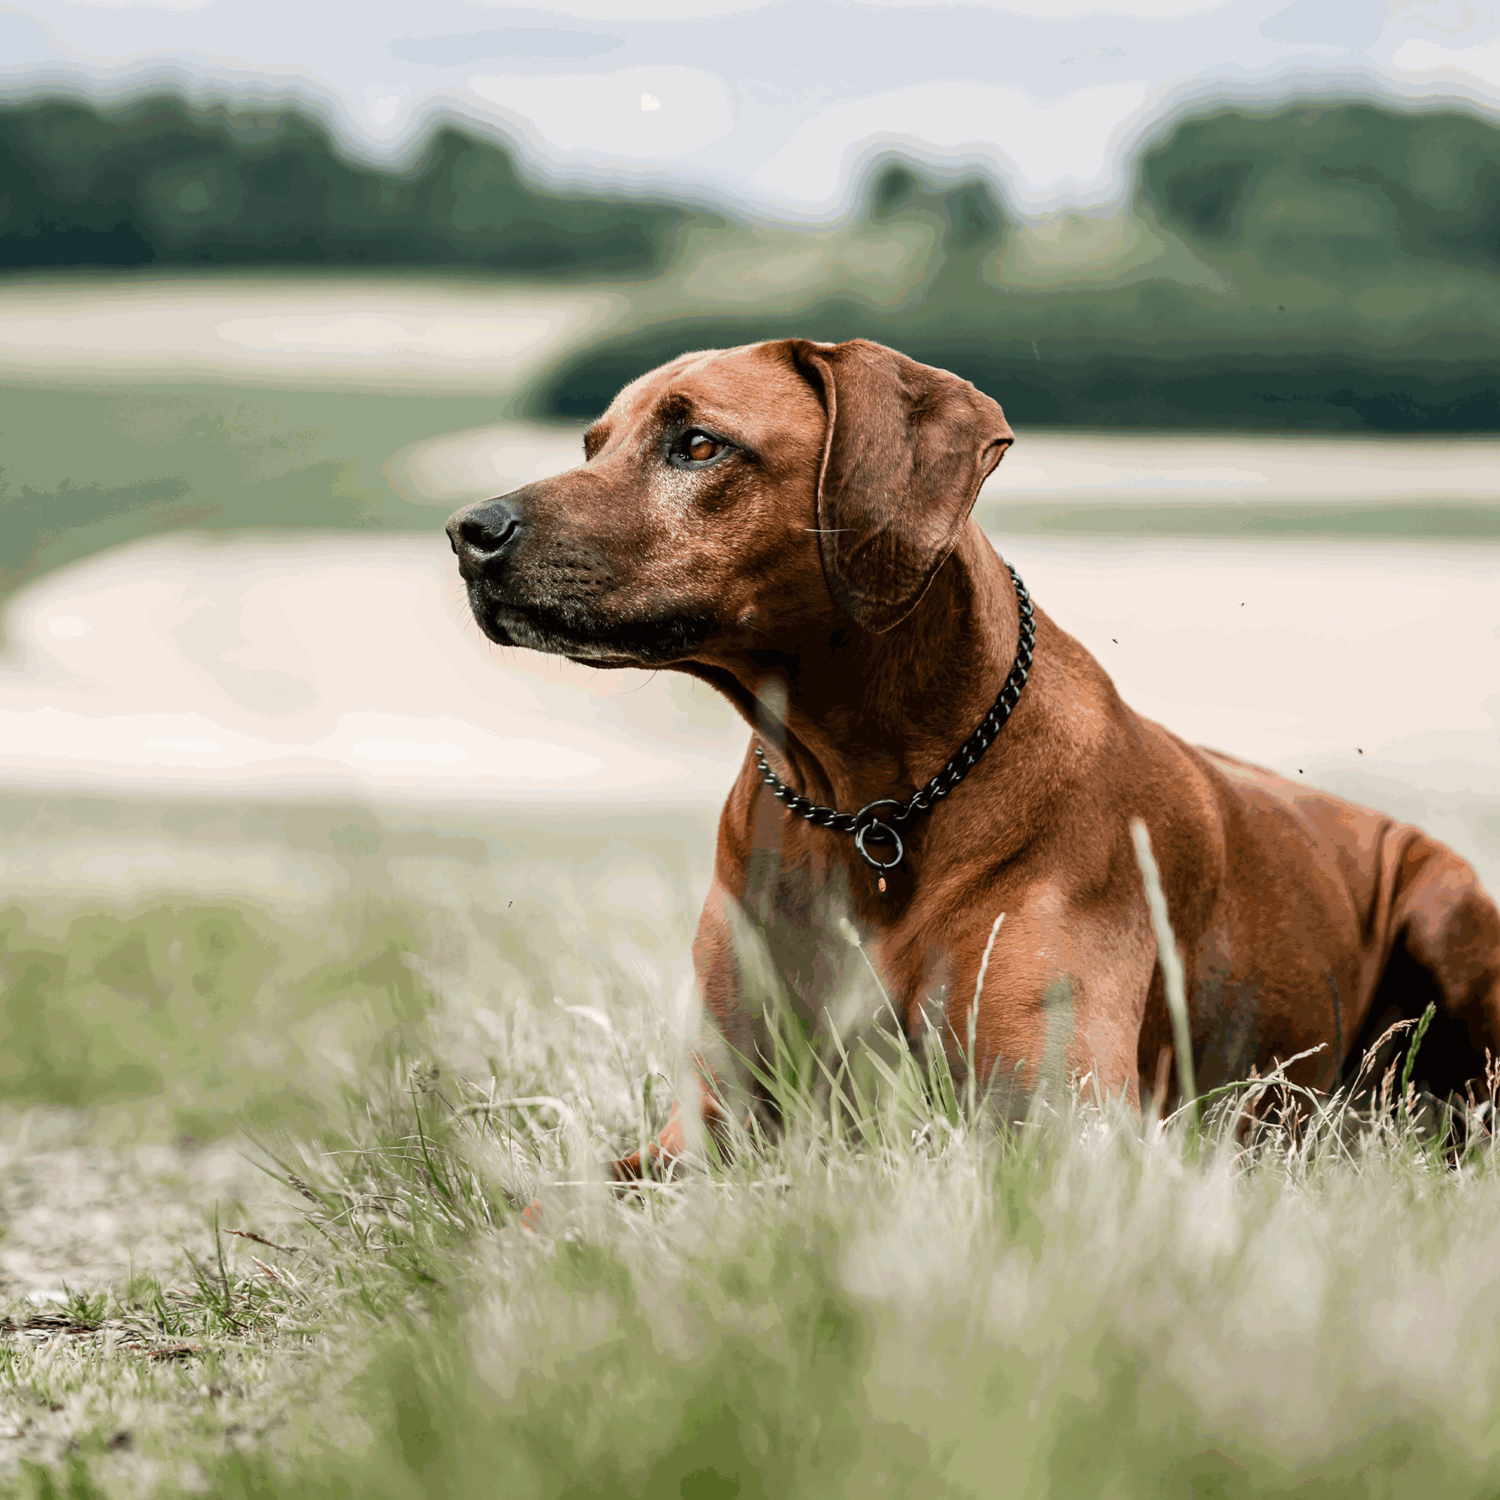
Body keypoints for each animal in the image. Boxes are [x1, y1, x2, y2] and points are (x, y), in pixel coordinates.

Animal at [450, 340, 1500, 1152]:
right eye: (595, 444)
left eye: (698, 444)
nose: (469, 531)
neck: (870, 805)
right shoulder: (709, 1124)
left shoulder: (1062, 1123)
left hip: (1451, 917)